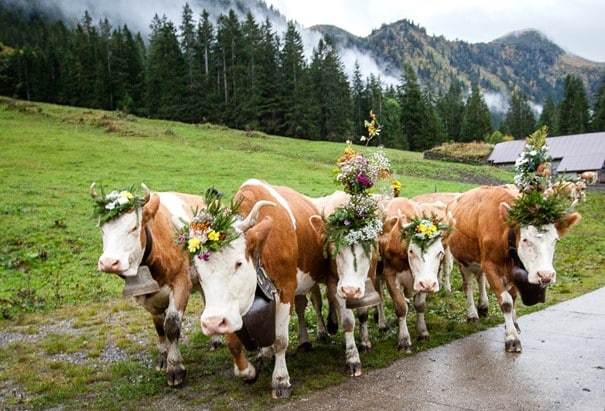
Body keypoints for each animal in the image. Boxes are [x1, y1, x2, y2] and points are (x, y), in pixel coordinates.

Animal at [89, 182, 203, 388]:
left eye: (134, 227)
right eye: (102, 228)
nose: (109, 262)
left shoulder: (181, 284)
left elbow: (172, 326)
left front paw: (175, 368)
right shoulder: (147, 298)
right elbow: (159, 328)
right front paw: (163, 359)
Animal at [189, 180, 368, 400]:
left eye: (238, 263)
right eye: (198, 269)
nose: (212, 323)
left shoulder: (286, 288)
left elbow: (281, 340)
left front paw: (281, 380)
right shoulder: (232, 307)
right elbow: (233, 342)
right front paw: (249, 372)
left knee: (320, 306)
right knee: (300, 309)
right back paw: (284, 347)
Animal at [378, 198, 448, 352]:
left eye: (440, 252)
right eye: (411, 251)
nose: (428, 284)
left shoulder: (421, 281)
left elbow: (420, 305)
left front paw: (422, 331)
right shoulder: (390, 274)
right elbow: (400, 307)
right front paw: (404, 340)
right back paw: (382, 323)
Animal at [444, 185, 580, 352]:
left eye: (555, 240)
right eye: (525, 239)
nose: (546, 275)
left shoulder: (511, 270)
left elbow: (514, 297)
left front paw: (514, 324)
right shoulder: (490, 266)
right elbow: (507, 302)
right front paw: (512, 338)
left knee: (480, 278)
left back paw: (483, 305)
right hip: (462, 261)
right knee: (468, 286)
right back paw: (472, 314)